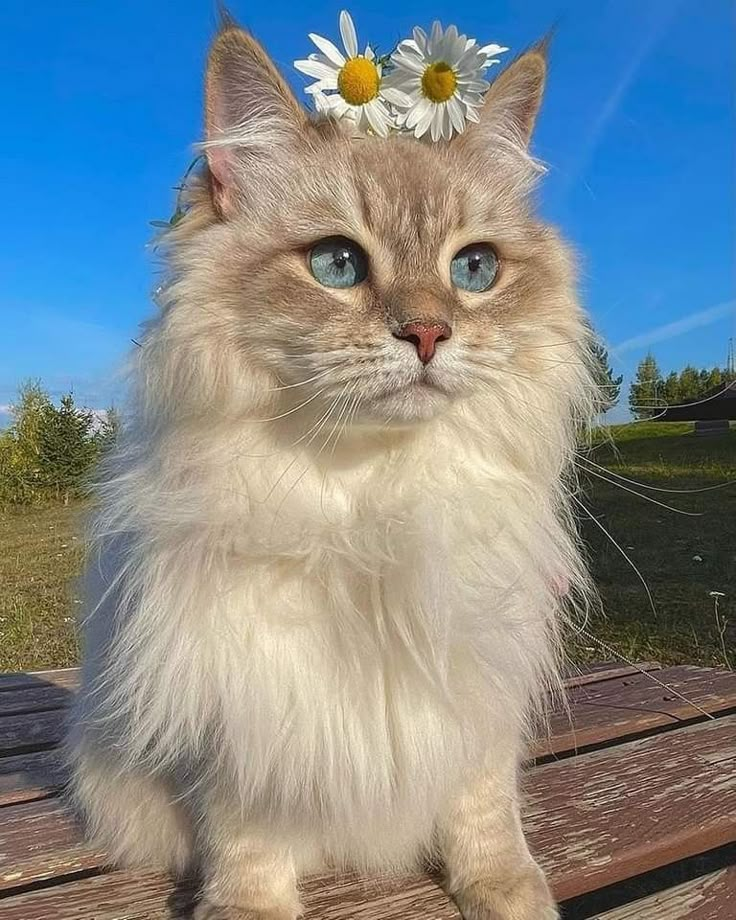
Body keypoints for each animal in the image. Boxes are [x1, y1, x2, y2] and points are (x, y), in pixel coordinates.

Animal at [67, 16, 600, 920]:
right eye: (337, 265)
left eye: (475, 270)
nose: (428, 334)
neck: (377, 497)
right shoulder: (242, 702)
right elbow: (248, 837)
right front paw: (249, 909)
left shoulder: (476, 682)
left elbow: (485, 815)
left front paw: (508, 894)